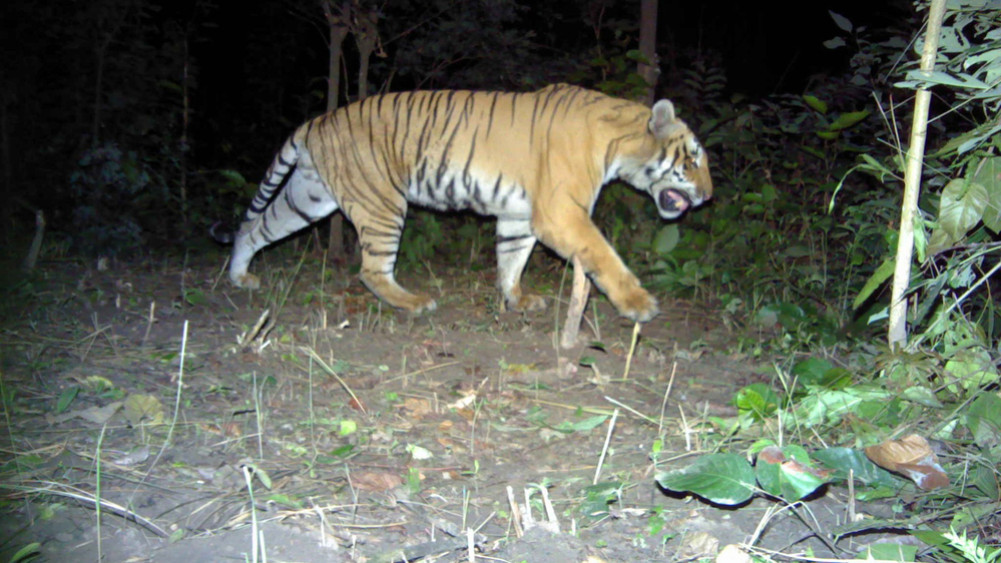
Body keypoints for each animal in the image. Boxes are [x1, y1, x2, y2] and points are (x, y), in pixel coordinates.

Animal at [218, 83, 712, 322]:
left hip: (309, 196)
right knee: (371, 271)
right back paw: (414, 302)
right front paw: (638, 304)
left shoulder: (519, 213)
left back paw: (240, 276)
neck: (618, 143)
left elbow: (512, 258)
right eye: (693, 159)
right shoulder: (561, 211)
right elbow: (603, 255)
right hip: (382, 203)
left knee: (254, 228)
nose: (709, 196)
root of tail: (318, 121)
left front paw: (516, 300)